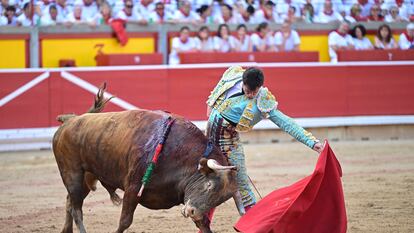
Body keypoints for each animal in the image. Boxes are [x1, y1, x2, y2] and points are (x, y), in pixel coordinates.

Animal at [52, 84, 239, 233]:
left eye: (219, 200)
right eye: (209, 185)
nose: (192, 211)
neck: (180, 155)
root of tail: (70, 121)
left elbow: (204, 224)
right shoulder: (133, 187)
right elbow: (125, 222)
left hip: (86, 178)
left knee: (70, 202)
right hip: (72, 173)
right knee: (76, 209)